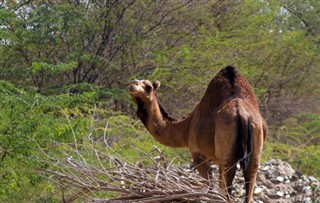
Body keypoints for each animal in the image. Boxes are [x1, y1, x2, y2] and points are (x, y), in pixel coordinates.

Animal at [129, 66, 266, 202]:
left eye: (148, 87)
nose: (133, 84)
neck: (186, 127)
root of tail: (243, 115)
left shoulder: (198, 154)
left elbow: (209, 187)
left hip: (227, 154)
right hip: (254, 143)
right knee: (250, 176)